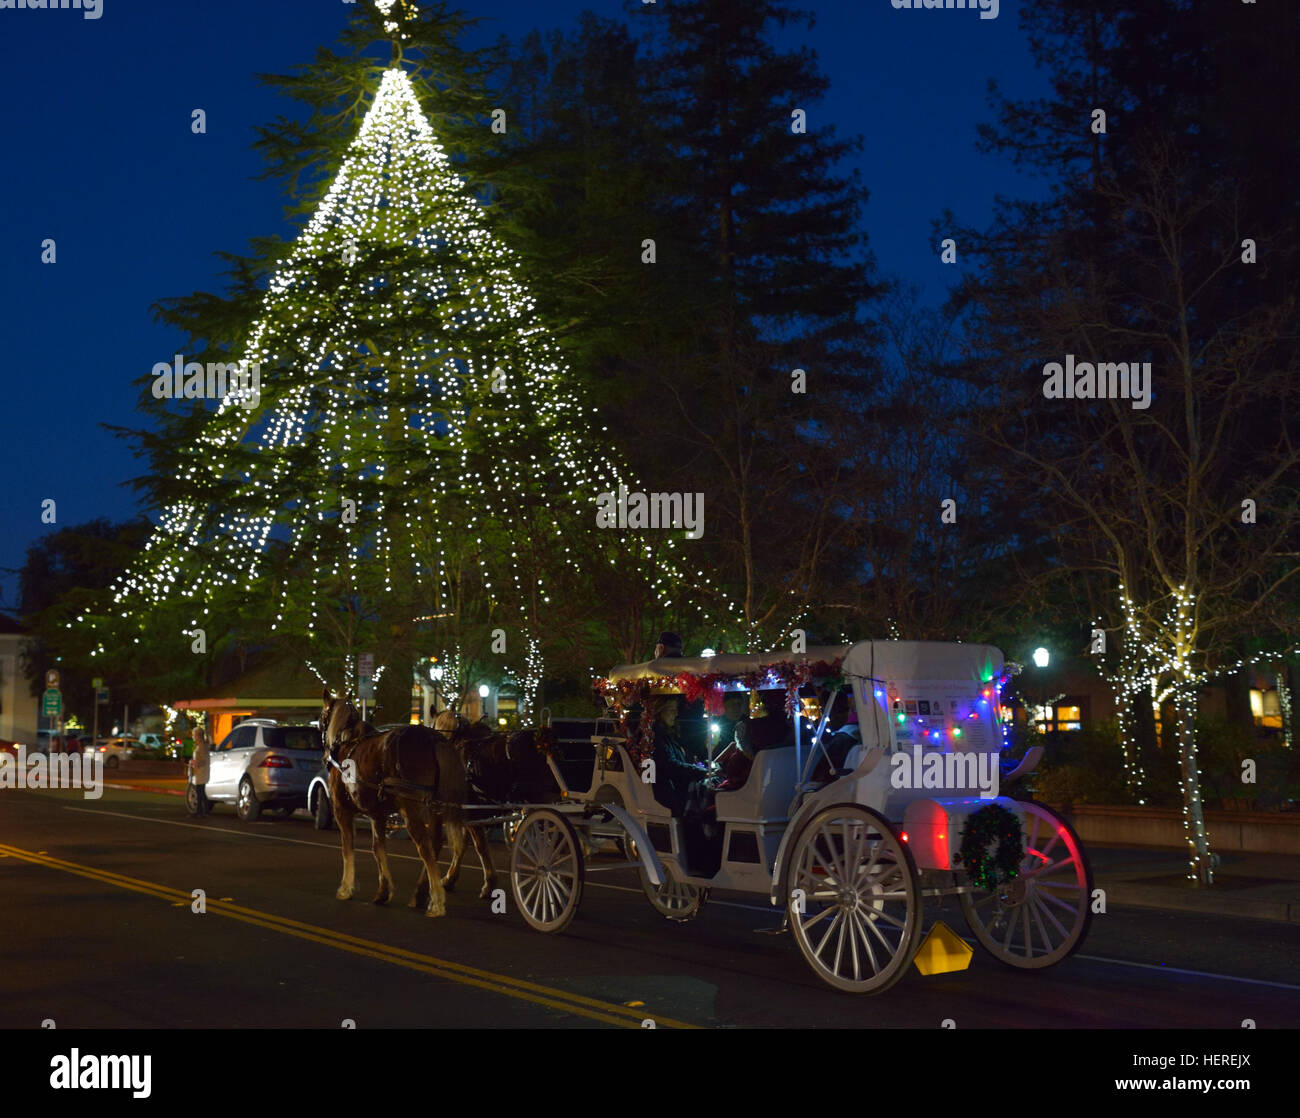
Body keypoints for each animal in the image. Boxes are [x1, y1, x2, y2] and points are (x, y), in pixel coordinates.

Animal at [322, 691, 470, 915]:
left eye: (323, 716)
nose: (324, 756)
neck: (347, 742)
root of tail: (434, 738)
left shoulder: (341, 809)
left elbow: (347, 847)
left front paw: (346, 887)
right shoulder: (377, 815)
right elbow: (378, 848)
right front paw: (383, 891)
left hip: (412, 808)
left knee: (425, 846)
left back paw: (436, 900)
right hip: (434, 808)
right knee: (436, 842)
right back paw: (422, 894)